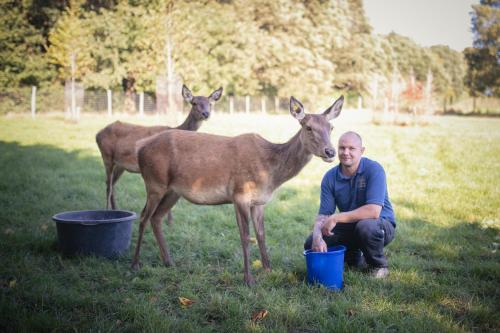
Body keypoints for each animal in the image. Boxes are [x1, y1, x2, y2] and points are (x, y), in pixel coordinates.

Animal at [95, 84, 223, 222]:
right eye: (194, 103)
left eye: (210, 103)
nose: (206, 113)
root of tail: (98, 134)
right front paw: (168, 220)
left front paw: (169, 221)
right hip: (106, 156)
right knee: (108, 184)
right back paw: (107, 212)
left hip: (120, 164)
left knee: (112, 184)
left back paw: (115, 210)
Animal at [132, 94, 344, 284]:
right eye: (308, 127)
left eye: (331, 127)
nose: (330, 152)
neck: (271, 173)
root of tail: (140, 147)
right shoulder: (240, 194)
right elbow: (245, 236)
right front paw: (248, 279)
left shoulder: (259, 201)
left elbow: (261, 235)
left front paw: (268, 270)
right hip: (154, 182)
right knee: (143, 217)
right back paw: (135, 264)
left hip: (173, 191)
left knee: (156, 218)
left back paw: (168, 261)